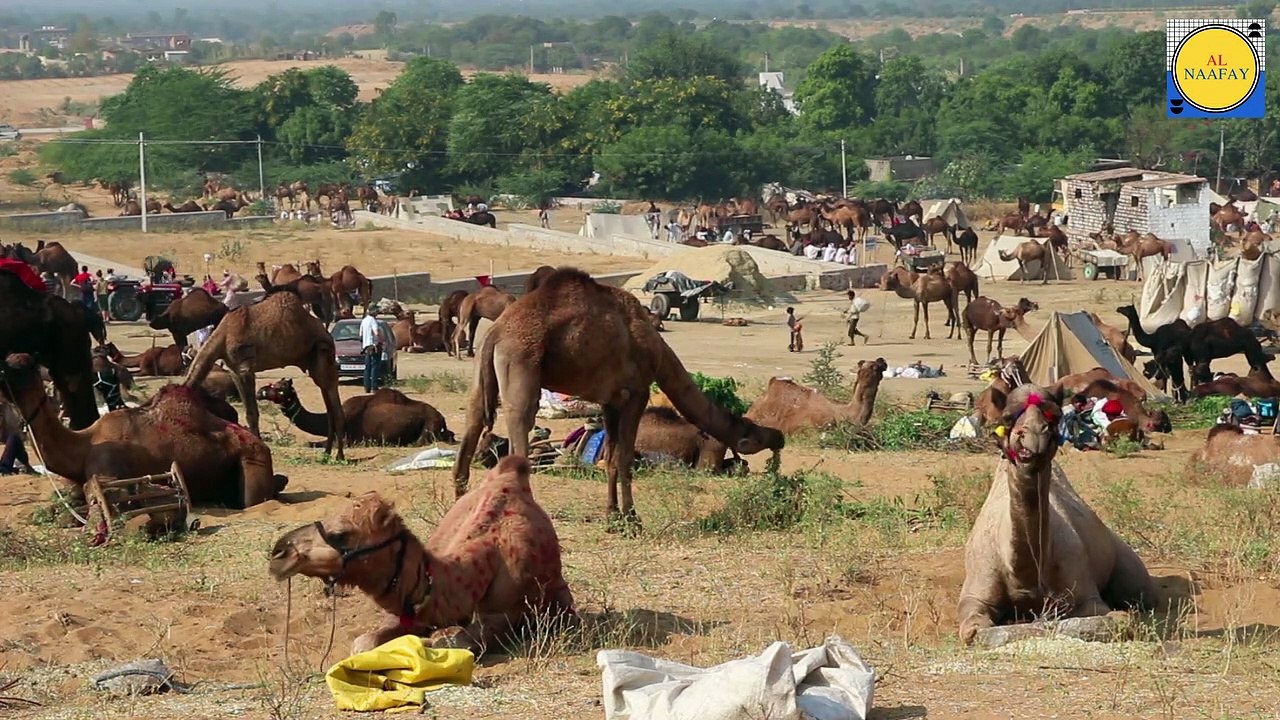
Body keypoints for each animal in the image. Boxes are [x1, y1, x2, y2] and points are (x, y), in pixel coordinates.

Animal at [1, 353, 284, 508]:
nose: (2, 371)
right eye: (7, 360)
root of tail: (261, 445)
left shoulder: (108, 472)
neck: (84, 445)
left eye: (23, 365)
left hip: (253, 460)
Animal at [183, 291, 346, 460]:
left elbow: (252, 413)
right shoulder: (234, 370)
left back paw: (339, 455)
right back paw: (327, 452)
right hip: (313, 362)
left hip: (324, 355)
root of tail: (327, 334)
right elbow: (250, 412)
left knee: (335, 403)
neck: (224, 334)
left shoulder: (246, 368)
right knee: (328, 405)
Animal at [270, 456, 574, 656]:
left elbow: (455, 641)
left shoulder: (506, 612)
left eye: (340, 534)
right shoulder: (413, 611)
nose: (278, 554)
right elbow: (363, 643)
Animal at [450, 269, 785, 525]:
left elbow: (610, 457)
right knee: (520, 421)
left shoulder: (610, 400)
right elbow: (624, 458)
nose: (779, 437)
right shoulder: (636, 392)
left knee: (473, 420)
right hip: (521, 362)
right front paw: (633, 519)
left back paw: (459, 508)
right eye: (753, 434)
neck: (657, 350)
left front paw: (613, 516)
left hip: (485, 372)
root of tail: (497, 332)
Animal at [957, 384, 1157, 645]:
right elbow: (975, 632)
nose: (1034, 434)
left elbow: (1110, 620)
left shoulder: (1085, 592)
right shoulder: (975, 594)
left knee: (1141, 594)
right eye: (1007, 417)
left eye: (1055, 415)